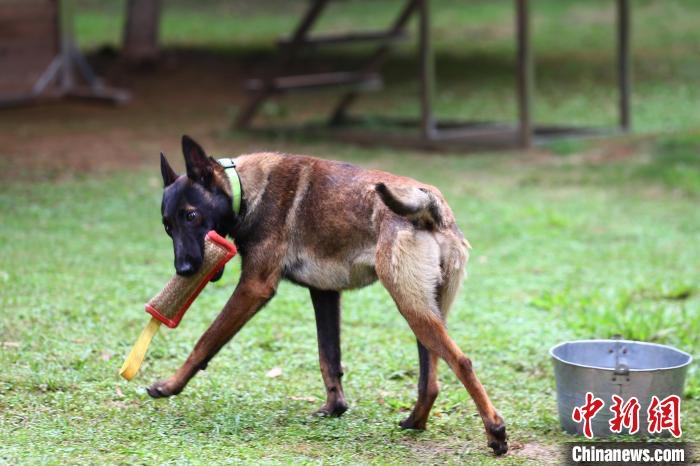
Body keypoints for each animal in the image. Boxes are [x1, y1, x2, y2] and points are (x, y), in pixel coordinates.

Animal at [150, 136, 506, 456]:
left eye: (191, 216)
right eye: (167, 227)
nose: (184, 269)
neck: (245, 189)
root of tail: (430, 205)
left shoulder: (254, 287)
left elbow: (206, 340)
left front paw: (169, 386)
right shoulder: (324, 293)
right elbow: (328, 357)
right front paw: (335, 407)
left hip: (410, 306)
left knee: (462, 362)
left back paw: (495, 432)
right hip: (426, 308)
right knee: (430, 379)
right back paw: (415, 422)